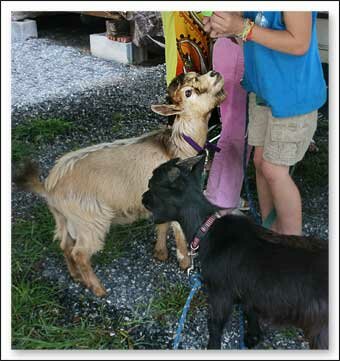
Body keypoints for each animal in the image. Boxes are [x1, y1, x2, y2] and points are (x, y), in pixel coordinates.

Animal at [14, 70, 226, 296]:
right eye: (188, 92)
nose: (215, 73)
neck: (177, 146)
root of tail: (50, 188)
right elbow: (177, 232)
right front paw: (185, 262)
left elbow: (161, 224)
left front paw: (160, 253)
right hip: (90, 220)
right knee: (80, 252)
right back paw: (98, 289)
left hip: (65, 219)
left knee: (64, 244)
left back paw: (76, 276)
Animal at [142, 153, 328, 348]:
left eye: (151, 184)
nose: (142, 197)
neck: (207, 229)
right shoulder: (247, 290)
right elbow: (249, 310)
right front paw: (253, 336)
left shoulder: (220, 293)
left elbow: (214, 327)